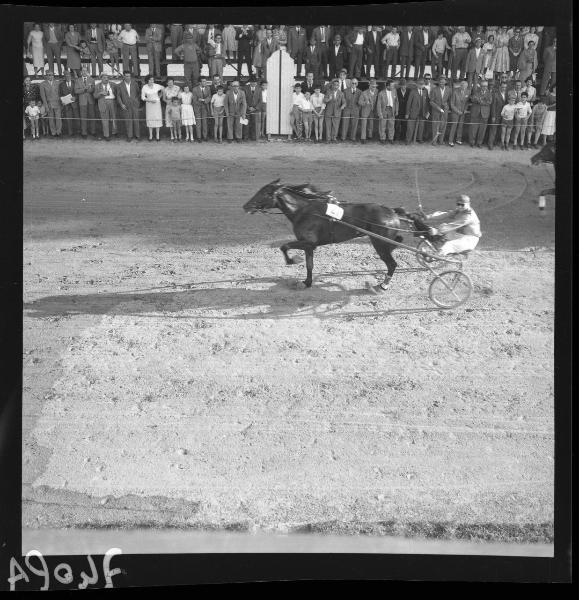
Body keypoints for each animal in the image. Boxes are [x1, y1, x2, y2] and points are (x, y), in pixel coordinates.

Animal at [242, 179, 414, 292]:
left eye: (265, 193)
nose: (245, 206)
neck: (304, 211)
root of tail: (392, 211)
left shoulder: (308, 243)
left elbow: (284, 246)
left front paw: (292, 260)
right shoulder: (309, 246)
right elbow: (309, 265)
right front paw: (307, 282)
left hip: (379, 243)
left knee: (392, 264)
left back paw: (383, 285)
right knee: (396, 246)